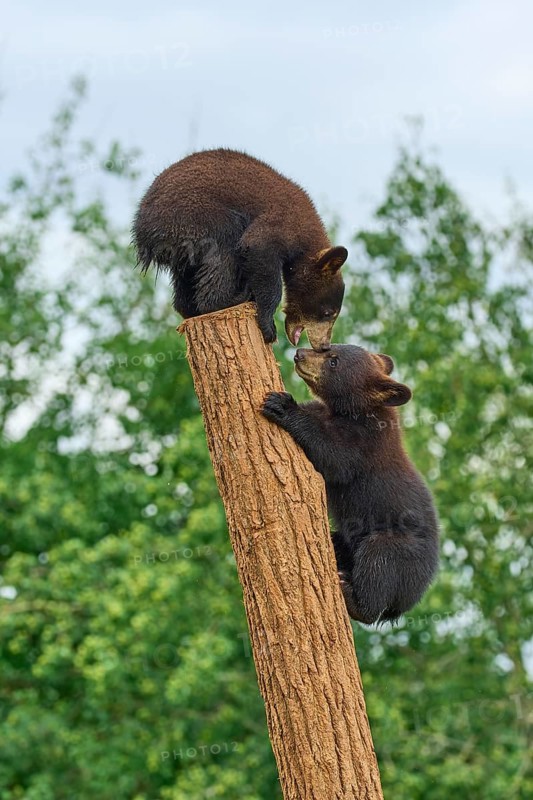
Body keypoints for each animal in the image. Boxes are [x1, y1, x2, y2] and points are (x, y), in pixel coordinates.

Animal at [133, 148, 348, 349]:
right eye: (328, 312)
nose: (325, 345)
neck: (306, 238)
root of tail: (141, 231)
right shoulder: (282, 222)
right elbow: (257, 248)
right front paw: (268, 326)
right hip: (192, 216)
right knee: (225, 245)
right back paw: (233, 297)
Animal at [262, 345, 439, 625]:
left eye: (334, 361)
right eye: (328, 348)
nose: (299, 354)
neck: (354, 411)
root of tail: (410, 600)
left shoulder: (366, 441)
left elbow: (334, 453)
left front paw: (282, 405)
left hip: (399, 547)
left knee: (378, 563)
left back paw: (351, 596)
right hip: (348, 542)